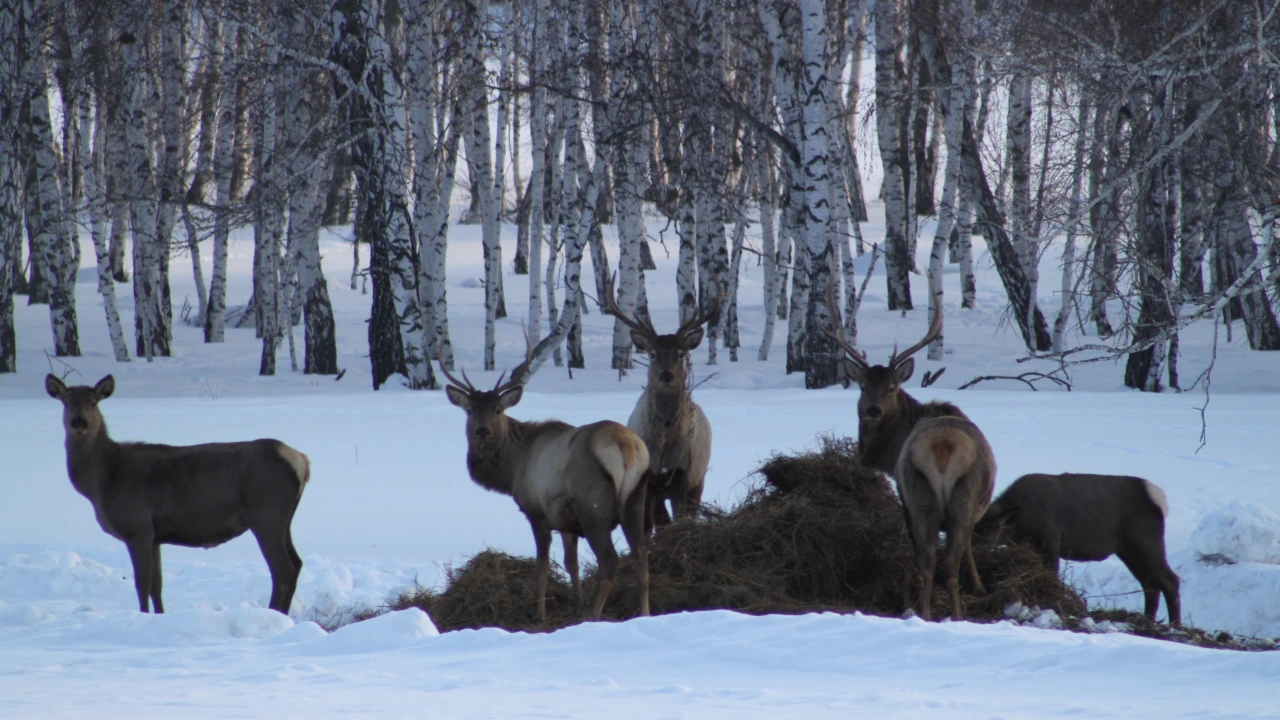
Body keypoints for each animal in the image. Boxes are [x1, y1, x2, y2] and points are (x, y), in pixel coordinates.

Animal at [45, 371, 309, 614]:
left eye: (93, 402)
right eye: (66, 402)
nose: (79, 422)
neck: (102, 482)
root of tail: (302, 462)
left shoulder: (137, 527)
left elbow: (142, 584)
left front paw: (143, 616)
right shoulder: (155, 535)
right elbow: (157, 585)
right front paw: (160, 615)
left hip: (266, 514)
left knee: (282, 567)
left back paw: (275, 612)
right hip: (283, 519)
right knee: (296, 563)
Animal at [445, 340, 655, 617]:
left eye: (498, 410)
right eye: (470, 411)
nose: (482, 431)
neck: (512, 469)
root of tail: (627, 447)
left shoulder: (537, 513)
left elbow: (542, 564)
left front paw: (539, 612)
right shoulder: (566, 521)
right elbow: (571, 563)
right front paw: (576, 602)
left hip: (593, 508)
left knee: (610, 560)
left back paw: (592, 615)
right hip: (636, 498)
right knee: (641, 554)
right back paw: (644, 613)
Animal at [601, 272, 721, 527]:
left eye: (681, 353)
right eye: (653, 354)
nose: (667, 375)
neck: (663, 449)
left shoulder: (683, 474)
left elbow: (679, 518)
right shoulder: (649, 482)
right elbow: (660, 524)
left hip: (700, 477)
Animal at [824, 304, 993, 620]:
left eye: (891, 388)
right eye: (862, 386)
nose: (873, 410)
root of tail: (943, 445)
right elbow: (966, 547)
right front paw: (978, 587)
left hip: (926, 495)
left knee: (932, 559)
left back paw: (926, 612)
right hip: (944, 496)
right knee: (941, 560)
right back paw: (947, 615)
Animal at [977, 471, 1177, 622]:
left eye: (989, 537)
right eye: (973, 532)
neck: (1019, 526)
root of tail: (1160, 501)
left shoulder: (1051, 539)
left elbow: (1053, 575)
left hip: (1145, 542)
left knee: (1170, 580)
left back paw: (1174, 625)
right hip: (1127, 551)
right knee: (1150, 585)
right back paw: (1148, 620)